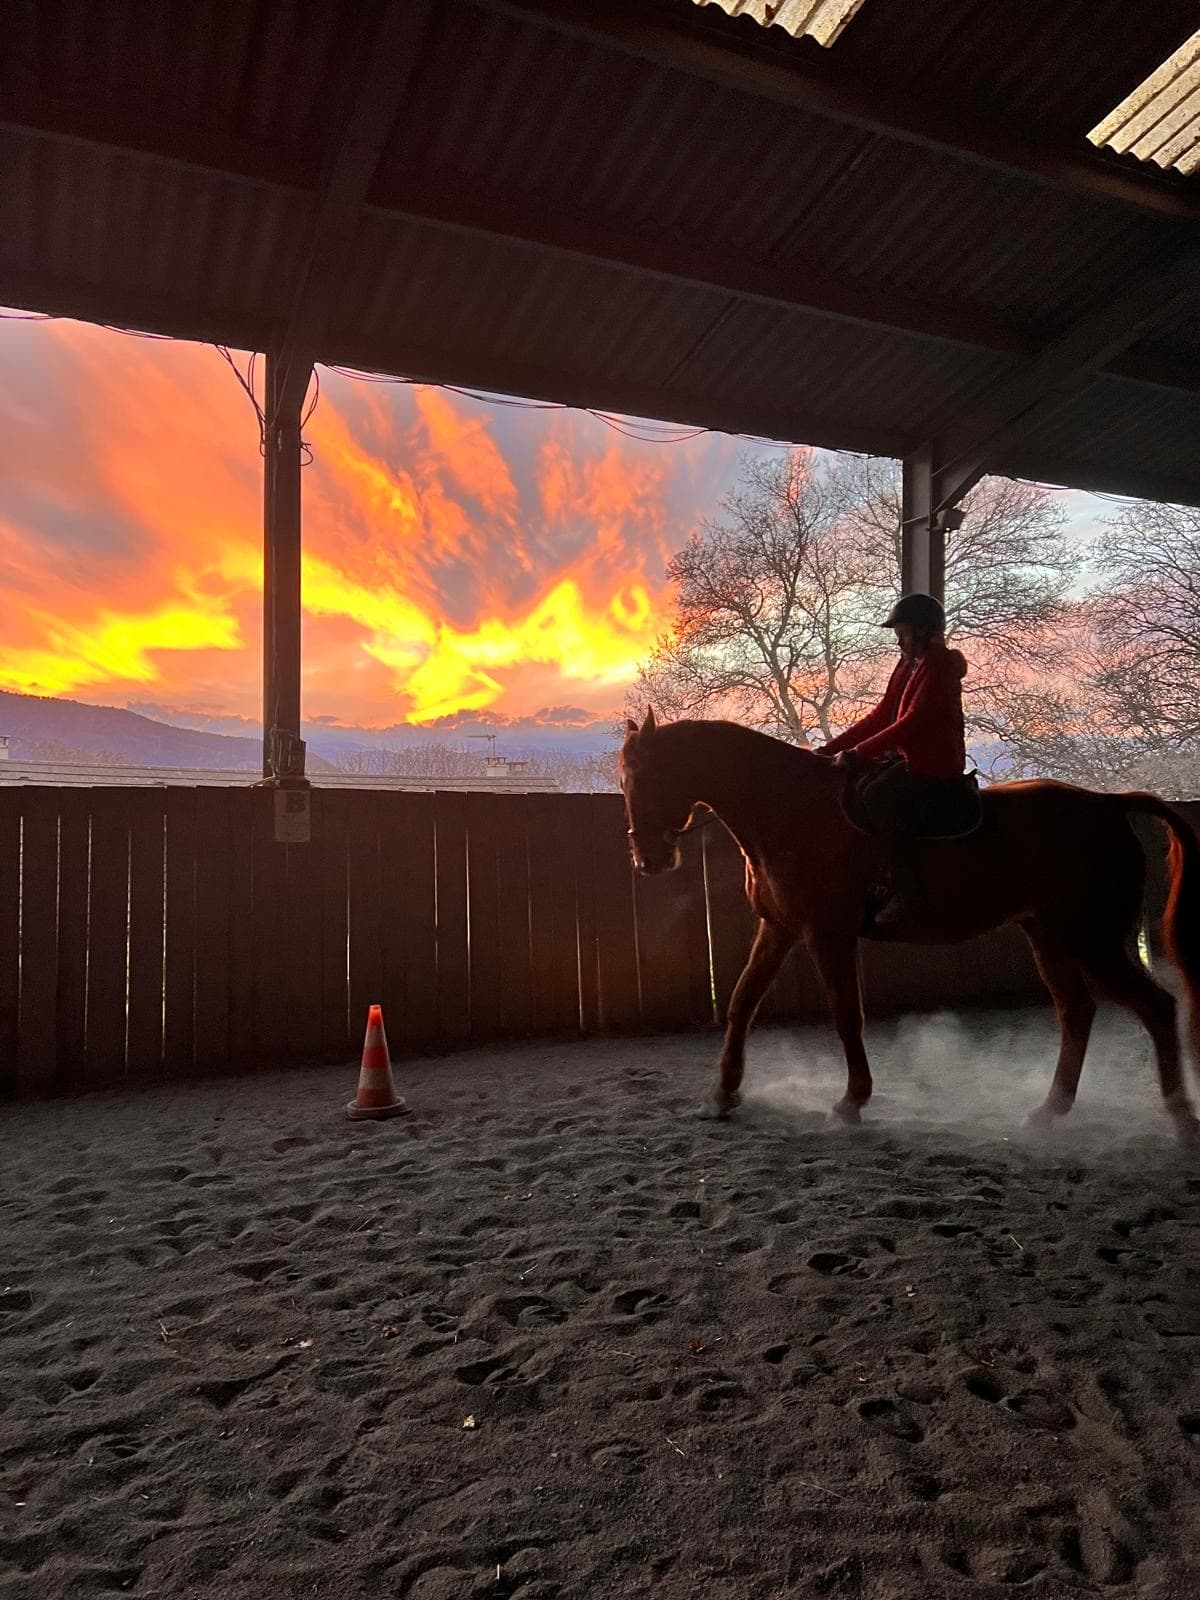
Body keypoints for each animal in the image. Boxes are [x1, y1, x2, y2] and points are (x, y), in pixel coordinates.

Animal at [619, 711, 1200, 1147]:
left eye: (645, 777)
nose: (647, 859)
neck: (789, 808)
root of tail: (1108, 803)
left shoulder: (827, 934)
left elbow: (846, 1015)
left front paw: (850, 1101)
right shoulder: (779, 928)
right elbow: (742, 1003)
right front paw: (722, 1096)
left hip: (1091, 939)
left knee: (1154, 1007)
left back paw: (1179, 1119)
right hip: (1049, 936)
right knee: (1077, 1012)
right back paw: (1047, 1112)